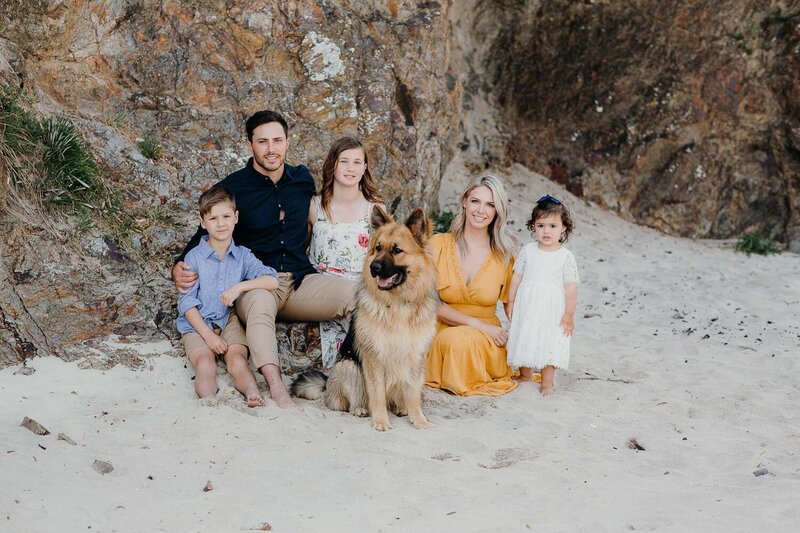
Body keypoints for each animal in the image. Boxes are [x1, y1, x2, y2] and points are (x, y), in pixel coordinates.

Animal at [290, 206, 438, 430]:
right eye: (378, 248)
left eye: (397, 250)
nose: (373, 268)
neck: (398, 304)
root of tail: (327, 384)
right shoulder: (373, 357)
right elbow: (376, 394)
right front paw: (380, 421)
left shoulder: (414, 357)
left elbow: (412, 394)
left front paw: (419, 420)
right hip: (349, 366)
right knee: (350, 401)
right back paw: (359, 409)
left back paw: (399, 407)